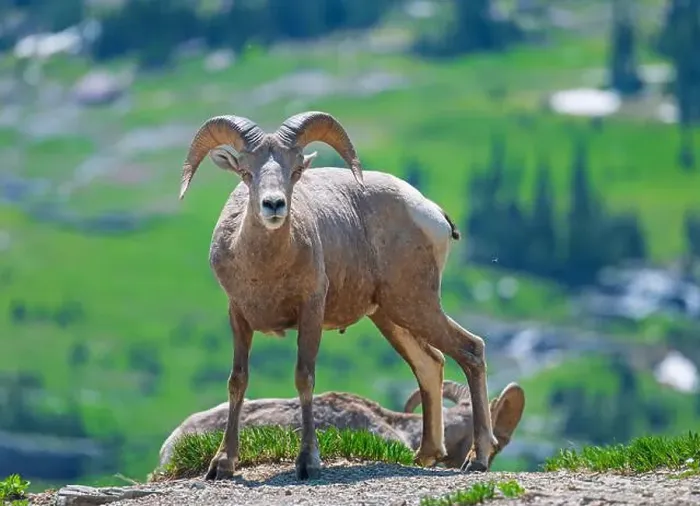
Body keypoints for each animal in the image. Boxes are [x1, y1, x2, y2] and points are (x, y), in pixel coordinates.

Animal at [178, 110, 498, 481]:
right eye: (246, 172)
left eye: (296, 171)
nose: (274, 205)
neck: (264, 268)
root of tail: (432, 214)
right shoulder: (239, 316)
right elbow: (237, 381)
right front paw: (222, 464)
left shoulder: (311, 312)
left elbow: (304, 377)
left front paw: (308, 462)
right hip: (391, 316)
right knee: (431, 363)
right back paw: (425, 456)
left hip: (417, 304)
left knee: (471, 350)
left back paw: (477, 458)